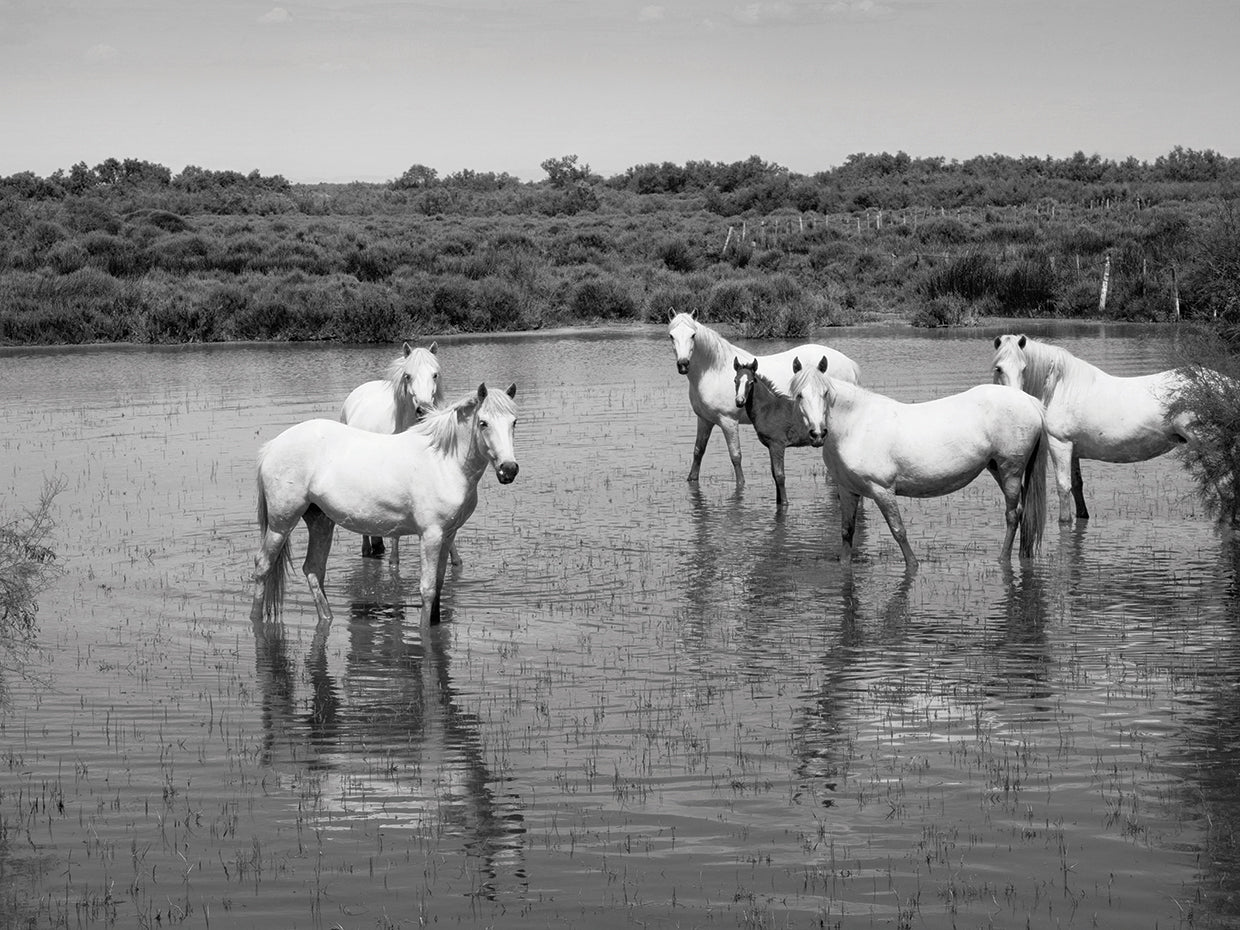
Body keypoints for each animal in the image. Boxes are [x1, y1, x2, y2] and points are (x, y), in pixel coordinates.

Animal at [252, 382, 518, 626]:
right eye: (483, 423)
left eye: (513, 422)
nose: (509, 469)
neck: (443, 462)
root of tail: (272, 447)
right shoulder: (431, 535)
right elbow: (428, 590)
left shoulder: (449, 534)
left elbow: (440, 587)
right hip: (281, 524)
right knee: (263, 566)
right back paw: (256, 618)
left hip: (321, 522)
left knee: (313, 570)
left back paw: (326, 618)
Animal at [731, 357, 817, 507]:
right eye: (735, 380)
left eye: (751, 382)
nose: (740, 401)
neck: (769, 409)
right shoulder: (770, 446)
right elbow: (773, 474)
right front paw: (778, 501)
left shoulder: (777, 444)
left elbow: (779, 475)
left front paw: (785, 503)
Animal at [791, 355, 1047, 571]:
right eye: (799, 395)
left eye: (825, 393)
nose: (818, 433)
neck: (856, 425)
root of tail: (1030, 401)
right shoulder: (847, 490)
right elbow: (846, 532)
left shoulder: (882, 490)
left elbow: (898, 531)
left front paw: (913, 565)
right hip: (997, 468)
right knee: (1021, 511)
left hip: (1010, 469)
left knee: (1012, 514)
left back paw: (1003, 559)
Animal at [991, 333, 1197, 524]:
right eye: (998, 368)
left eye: (1024, 368)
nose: (1013, 399)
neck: (1060, 387)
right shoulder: (1072, 450)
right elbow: (1076, 486)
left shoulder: (1060, 445)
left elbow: (1063, 487)